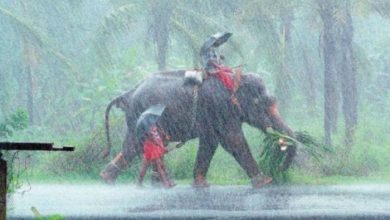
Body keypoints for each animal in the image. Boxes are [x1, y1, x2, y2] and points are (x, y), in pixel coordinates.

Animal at [100, 69, 296, 187]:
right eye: (261, 104)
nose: (281, 169)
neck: (233, 77)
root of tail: (129, 93)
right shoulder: (220, 107)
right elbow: (233, 140)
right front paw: (265, 181)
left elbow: (210, 142)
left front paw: (201, 184)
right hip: (141, 115)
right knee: (138, 146)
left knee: (134, 147)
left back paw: (110, 179)